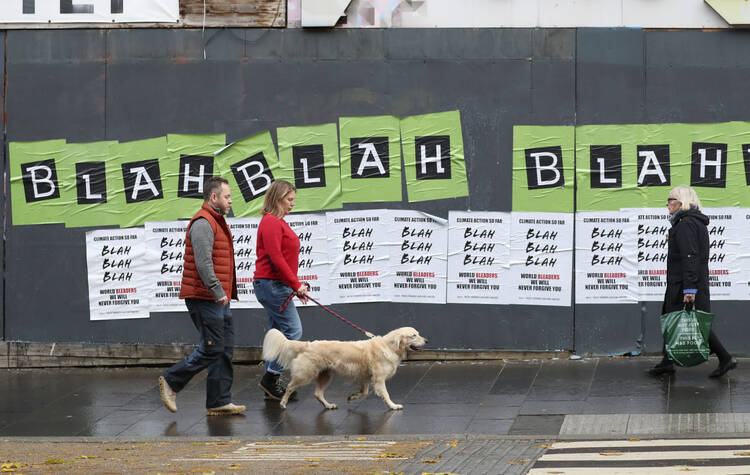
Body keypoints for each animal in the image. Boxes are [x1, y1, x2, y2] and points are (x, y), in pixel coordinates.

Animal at [262, 330, 428, 410]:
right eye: (413, 336)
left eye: (419, 334)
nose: (427, 340)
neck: (389, 346)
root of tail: (308, 344)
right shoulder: (379, 379)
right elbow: (386, 395)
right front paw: (393, 406)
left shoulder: (365, 378)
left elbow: (364, 392)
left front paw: (352, 397)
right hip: (306, 374)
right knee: (290, 387)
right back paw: (283, 403)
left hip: (325, 376)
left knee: (317, 393)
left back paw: (328, 405)